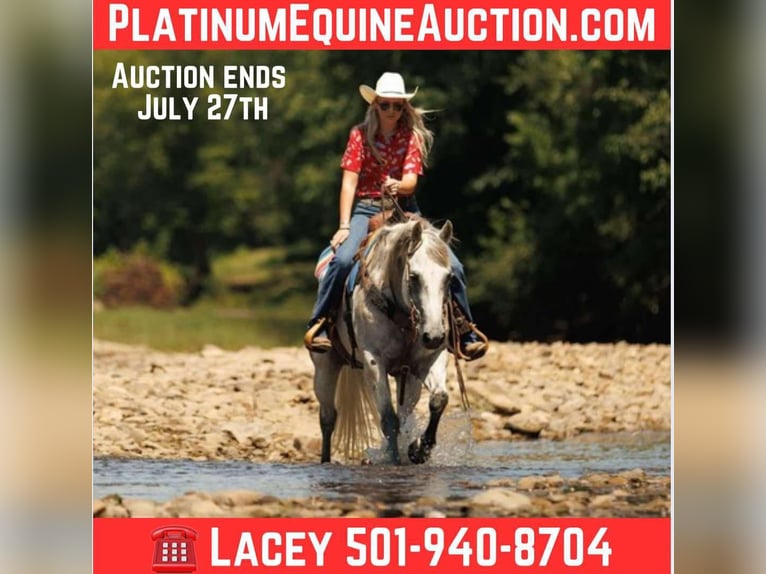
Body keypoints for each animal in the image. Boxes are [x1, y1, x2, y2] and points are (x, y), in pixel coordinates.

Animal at [310, 218, 455, 464]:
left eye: (449, 277)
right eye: (414, 277)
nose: (434, 336)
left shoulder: (430, 359)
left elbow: (439, 399)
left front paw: (419, 449)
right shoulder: (374, 361)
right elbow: (388, 418)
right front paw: (394, 460)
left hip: (408, 378)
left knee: (406, 413)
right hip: (325, 367)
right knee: (328, 418)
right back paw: (326, 461)